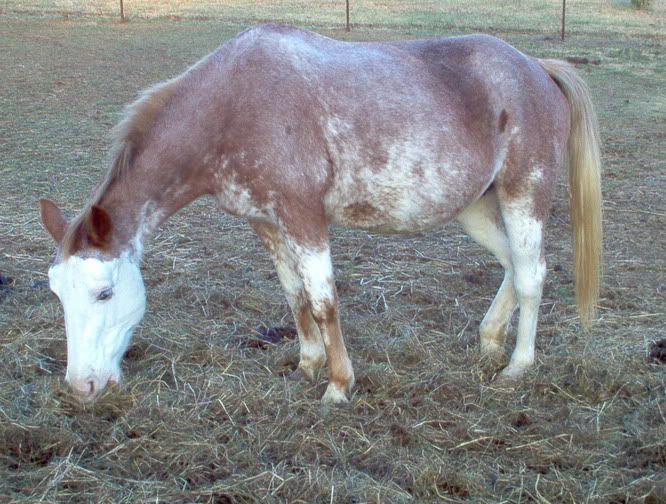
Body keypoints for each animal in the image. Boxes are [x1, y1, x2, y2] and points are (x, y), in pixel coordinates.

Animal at [39, 24, 602, 404]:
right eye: (59, 294)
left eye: (104, 292)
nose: (82, 386)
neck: (233, 106)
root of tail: (537, 66)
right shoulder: (267, 223)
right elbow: (295, 295)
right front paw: (307, 366)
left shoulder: (304, 218)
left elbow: (324, 300)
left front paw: (338, 385)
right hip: (477, 208)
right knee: (511, 264)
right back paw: (489, 342)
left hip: (522, 195)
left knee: (531, 274)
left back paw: (517, 366)